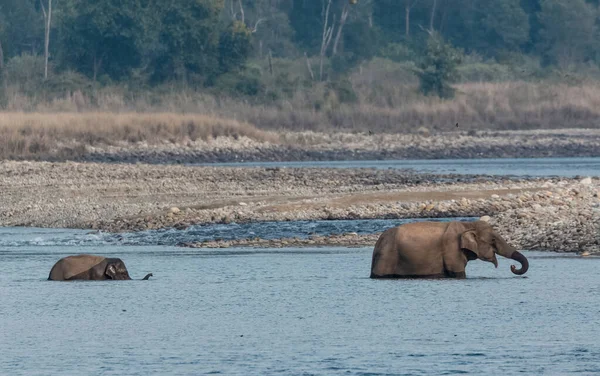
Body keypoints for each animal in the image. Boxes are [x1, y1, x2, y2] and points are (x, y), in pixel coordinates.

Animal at [370, 220, 528, 280]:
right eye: (493, 241)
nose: (513, 266)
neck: (467, 224)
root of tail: (378, 241)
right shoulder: (451, 248)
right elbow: (458, 273)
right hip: (387, 256)